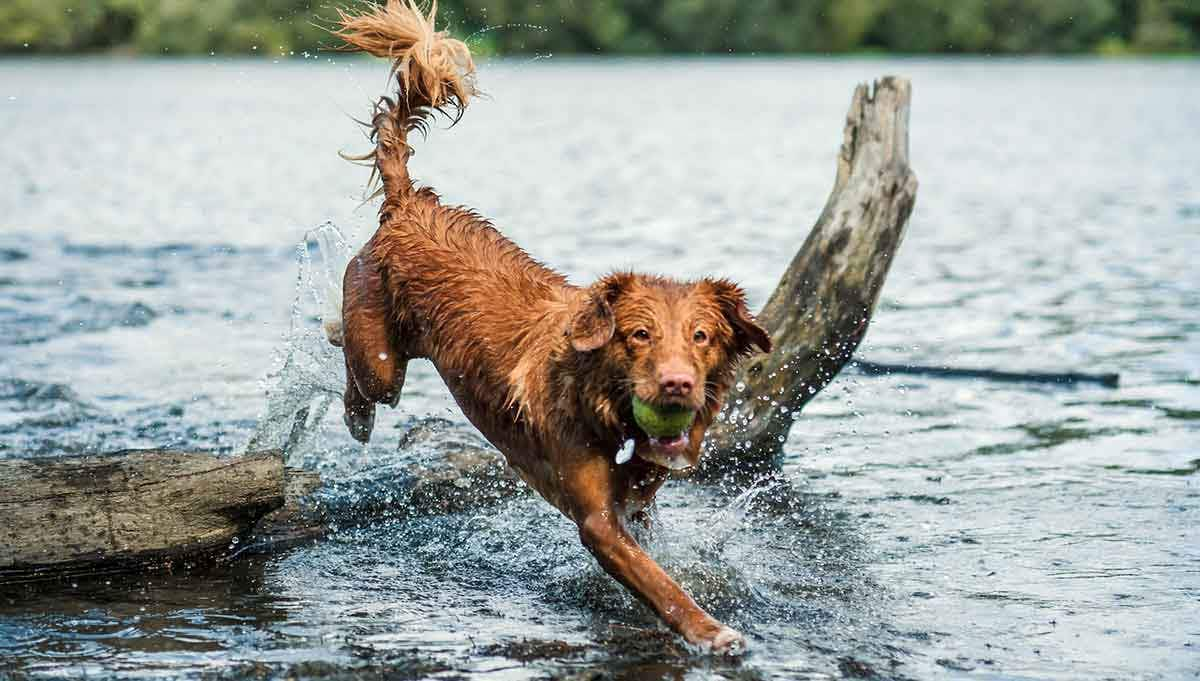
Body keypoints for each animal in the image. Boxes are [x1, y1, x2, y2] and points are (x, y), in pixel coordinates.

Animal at [331, 0, 768, 652]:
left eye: (702, 338)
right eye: (638, 335)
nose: (676, 385)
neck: (605, 404)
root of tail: (412, 204)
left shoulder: (636, 503)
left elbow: (658, 553)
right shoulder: (597, 522)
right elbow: (662, 585)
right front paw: (710, 631)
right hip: (381, 356)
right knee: (359, 367)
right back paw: (353, 406)